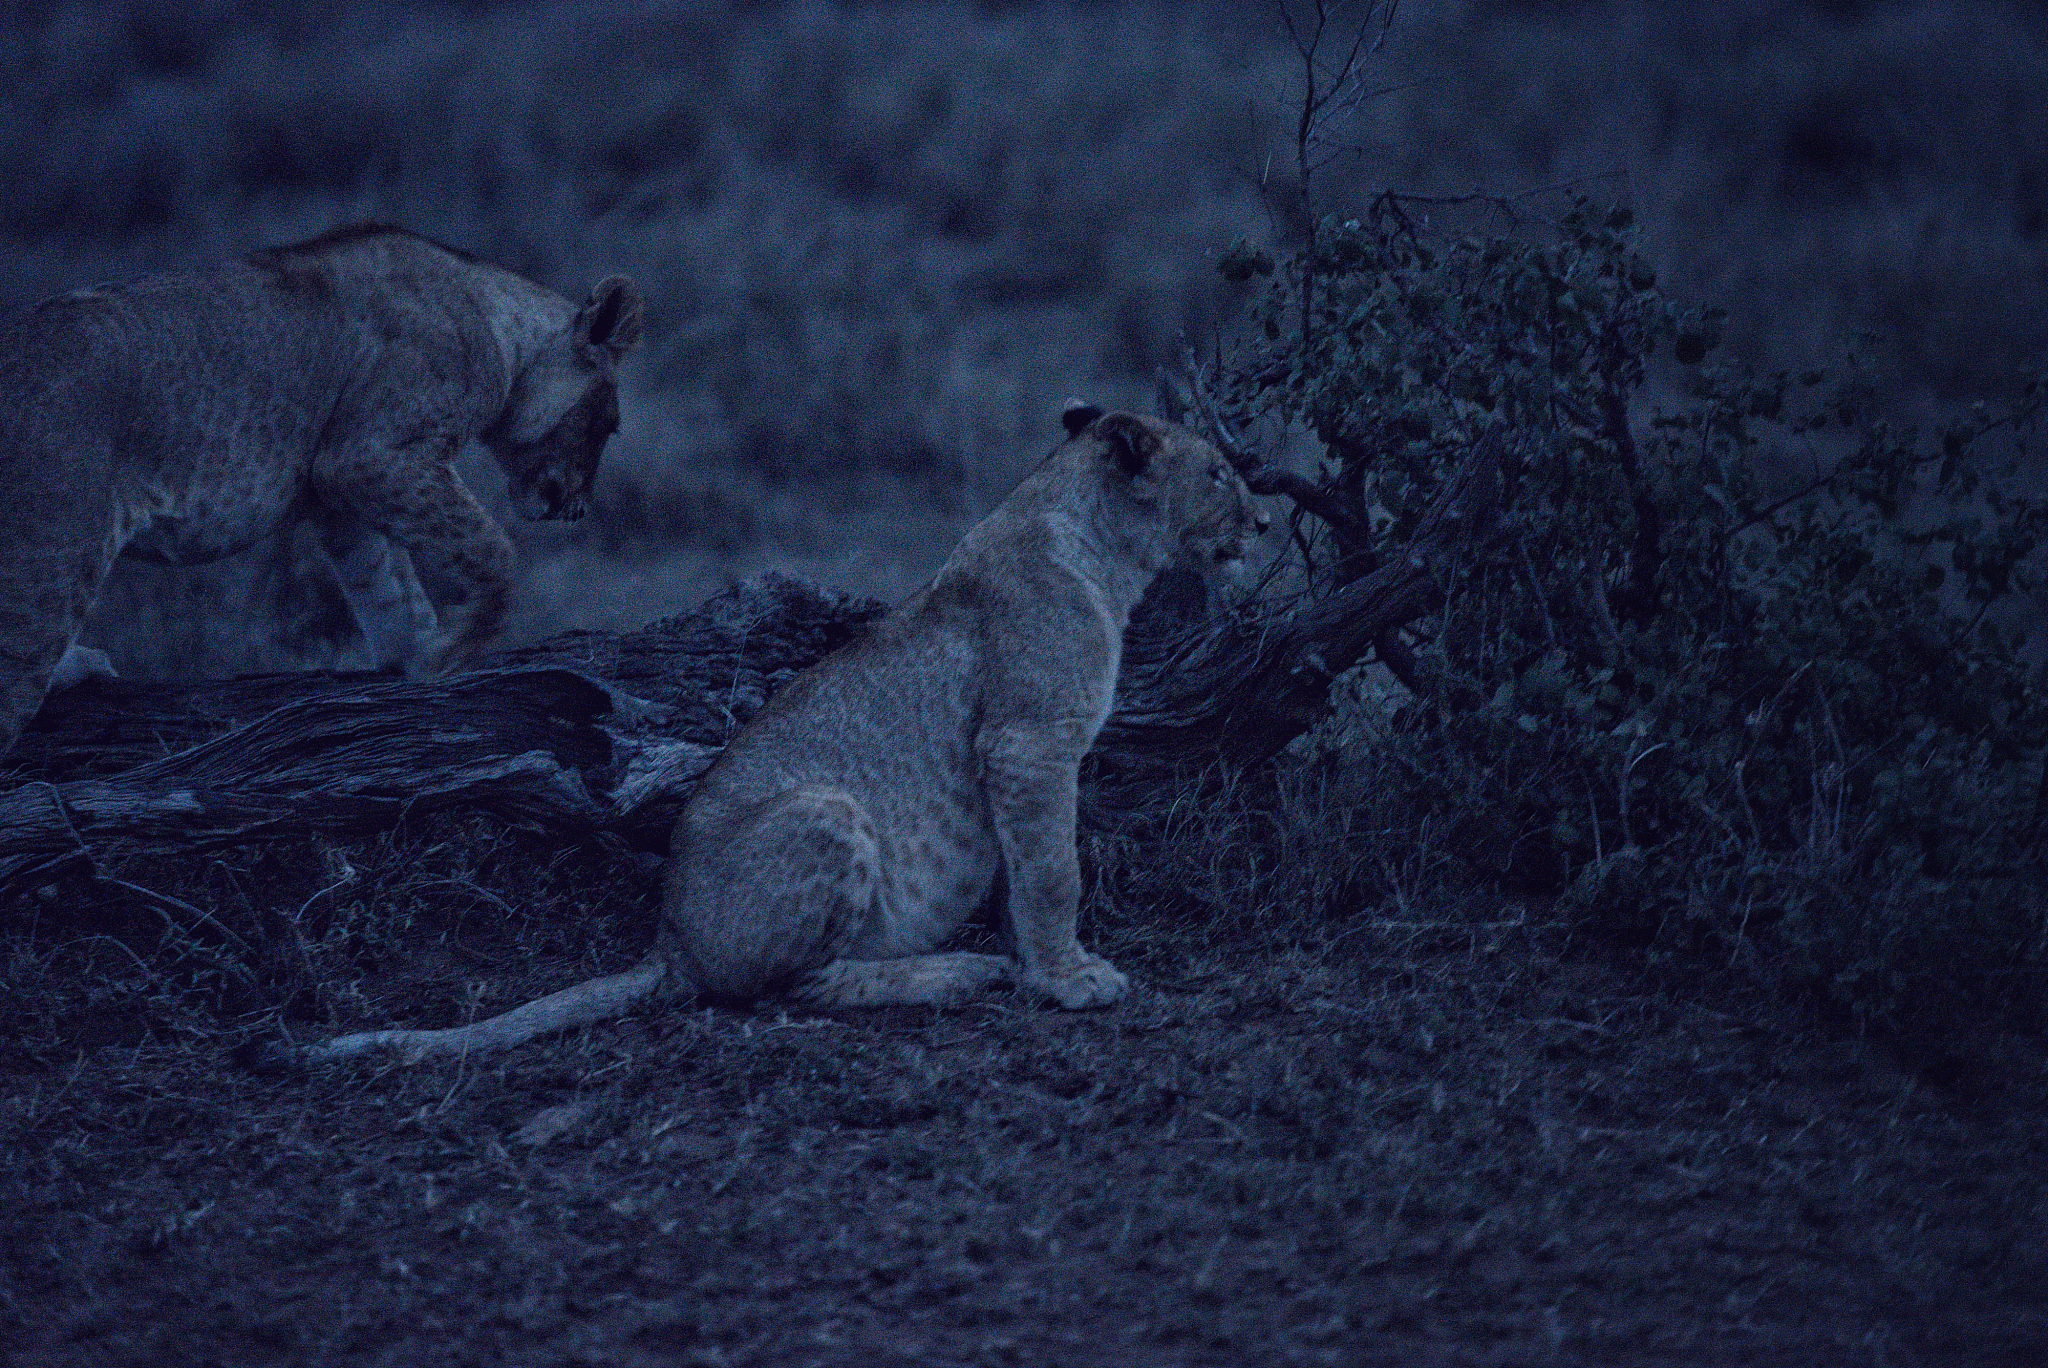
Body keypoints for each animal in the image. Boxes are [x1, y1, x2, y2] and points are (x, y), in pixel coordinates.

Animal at [0, 223, 643, 756]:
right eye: (608, 425)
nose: (577, 508)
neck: (495, 319)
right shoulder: (367, 456)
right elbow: (489, 549)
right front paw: (461, 643)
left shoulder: (342, 492)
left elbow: (389, 587)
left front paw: (419, 662)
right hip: (50, 552)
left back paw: (77, 668)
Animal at [288, 405, 1267, 1064]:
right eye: (1219, 472)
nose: (1263, 520)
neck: (1105, 551)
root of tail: (670, 943)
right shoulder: (1029, 741)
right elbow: (1055, 871)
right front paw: (1068, 979)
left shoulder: (1021, 759)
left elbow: (1025, 875)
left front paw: (1039, 964)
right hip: (825, 809)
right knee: (792, 989)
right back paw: (956, 972)